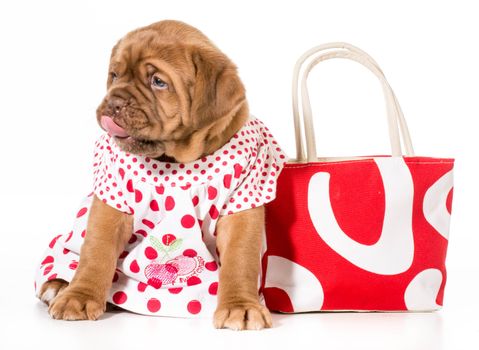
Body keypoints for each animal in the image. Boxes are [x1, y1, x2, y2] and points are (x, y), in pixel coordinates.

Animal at [39, 20, 274, 330]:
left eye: (158, 82)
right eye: (114, 75)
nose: (113, 102)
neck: (173, 158)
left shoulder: (242, 207)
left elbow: (241, 259)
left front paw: (242, 306)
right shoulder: (111, 203)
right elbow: (96, 252)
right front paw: (79, 297)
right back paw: (58, 285)